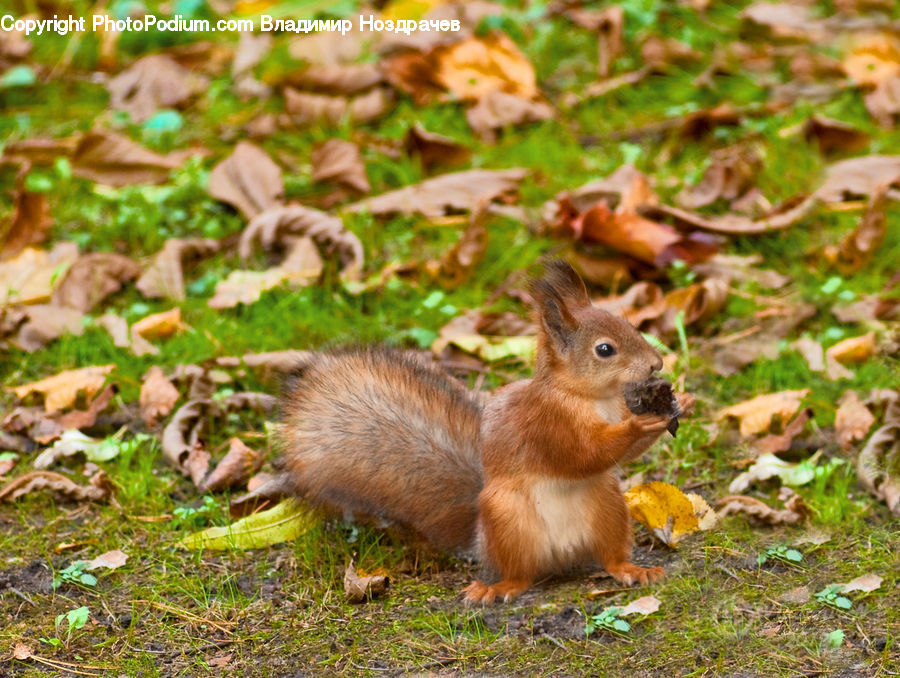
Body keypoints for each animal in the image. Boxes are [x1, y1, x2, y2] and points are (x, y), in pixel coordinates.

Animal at [278, 262, 692, 604]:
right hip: (508, 521)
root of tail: (562, 558)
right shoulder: (546, 425)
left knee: (609, 558)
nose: (656, 363)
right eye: (605, 349)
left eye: (630, 325)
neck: (591, 398)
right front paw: (641, 422)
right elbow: (584, 454)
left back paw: (633, 570)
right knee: (520, 575)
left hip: (608, 507)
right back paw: (498, 589)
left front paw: (683, 401)